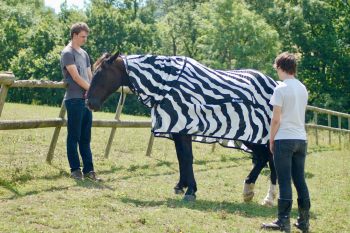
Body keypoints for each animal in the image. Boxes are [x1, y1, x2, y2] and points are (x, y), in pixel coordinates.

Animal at [87, 52, 278, 201]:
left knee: (267, 158)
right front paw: (181, 185)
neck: (167, 85)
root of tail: (274, 84)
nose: (89, 103)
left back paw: (260, 194)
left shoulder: (184, 128)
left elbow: (187, 157)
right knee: (265, 158)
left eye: (100, 73)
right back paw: (255, 193)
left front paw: (191, 190)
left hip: (256, 135)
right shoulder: (178, 130)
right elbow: (181, 157)